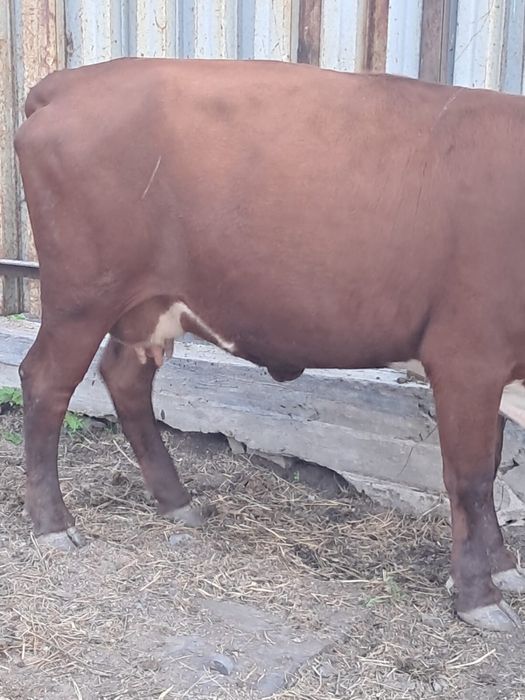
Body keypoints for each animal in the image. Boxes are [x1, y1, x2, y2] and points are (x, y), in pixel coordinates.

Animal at [13, 57, 525, 632]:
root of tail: (69, 83)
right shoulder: (467, 358)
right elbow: (471, 478)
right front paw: (478, 593)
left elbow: (489, 469)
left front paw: (502, 567)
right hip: (82, 297)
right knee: (46, 382)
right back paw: (53, 523)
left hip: (150, 303)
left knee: (125, 379)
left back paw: (176, 500)